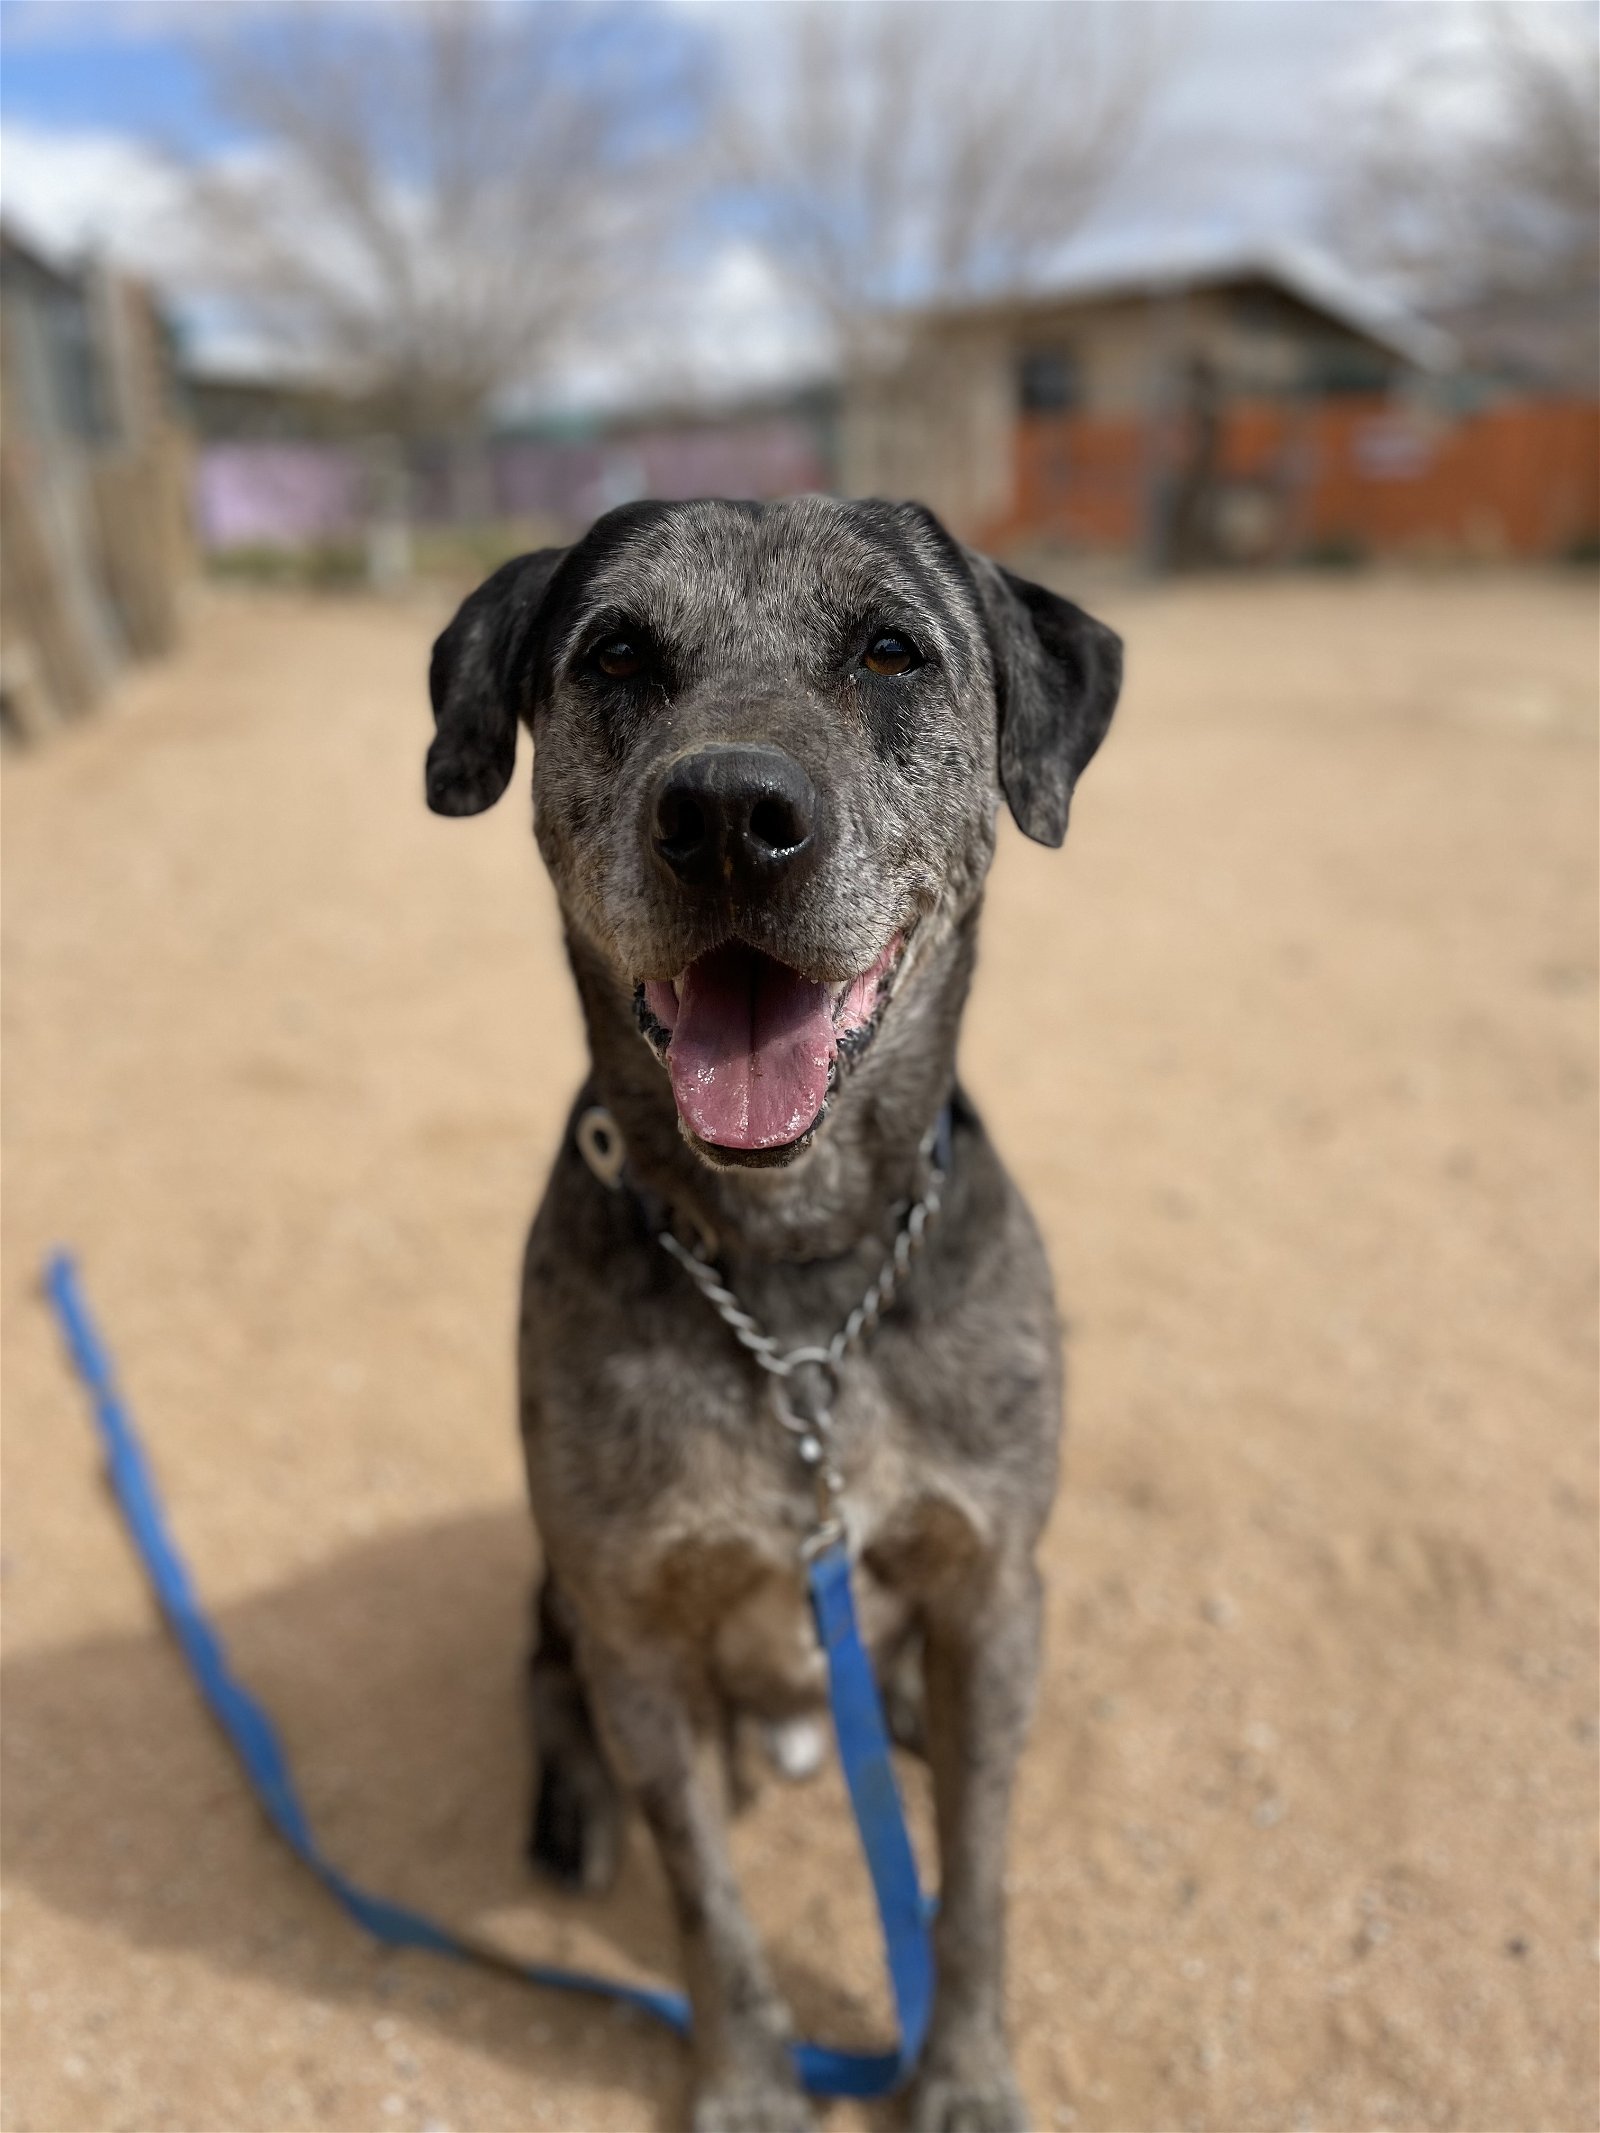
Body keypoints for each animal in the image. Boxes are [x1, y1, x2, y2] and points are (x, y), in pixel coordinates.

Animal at [428, 503, 1126, 2133]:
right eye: (617, 653)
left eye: (891, 651)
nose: (732, 815)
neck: (795, 1278)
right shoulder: (629, 1621)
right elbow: (708, 1903)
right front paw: (747, 2080)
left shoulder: (994, 1586)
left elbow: (974, 1880)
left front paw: (962, 2070)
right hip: (565, 1598)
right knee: (545, 1684)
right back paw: (572, 1812)